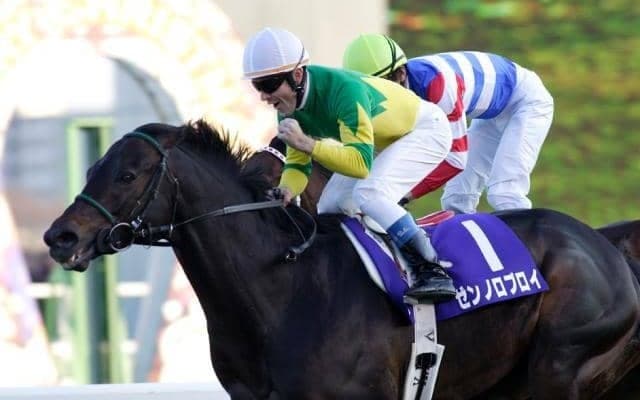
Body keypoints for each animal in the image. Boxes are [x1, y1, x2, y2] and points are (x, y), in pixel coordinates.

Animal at [43, 119, 640, 399]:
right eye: (93, 166)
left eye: (127, 174)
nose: (61, 237)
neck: (281, 290)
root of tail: (606, 246)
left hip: (560, 367)